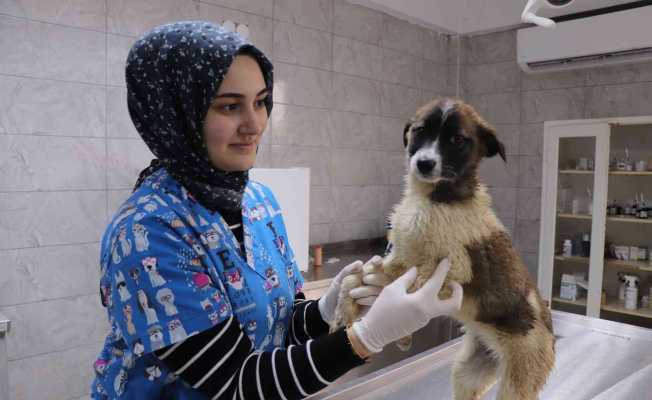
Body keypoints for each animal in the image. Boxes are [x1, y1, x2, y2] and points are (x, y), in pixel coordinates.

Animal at [336, 97, 556, 400]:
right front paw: (344, 311)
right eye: (419, 130)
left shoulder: (450, 269)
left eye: (457, 139)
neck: (436, 199)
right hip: (468, 372)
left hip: (518, 380)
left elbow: (398, 285)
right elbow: (357, 276)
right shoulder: (399, 256)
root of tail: (552, 335)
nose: (424, 163)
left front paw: (399, 328)